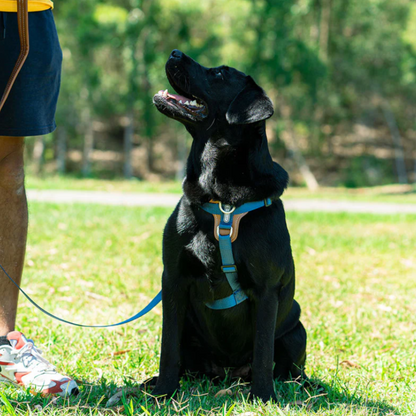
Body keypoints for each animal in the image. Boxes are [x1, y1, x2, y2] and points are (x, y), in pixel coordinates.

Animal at [151, 49, 308, 404]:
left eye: (220, 74)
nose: (174, 52)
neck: (221, 199)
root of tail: (226, 373)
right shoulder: (173, 279)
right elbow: (168, 349)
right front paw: (163, 391)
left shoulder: (266, 290)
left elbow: (262, 353)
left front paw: (263, 397)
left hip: (297, 331)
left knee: (291, 368)